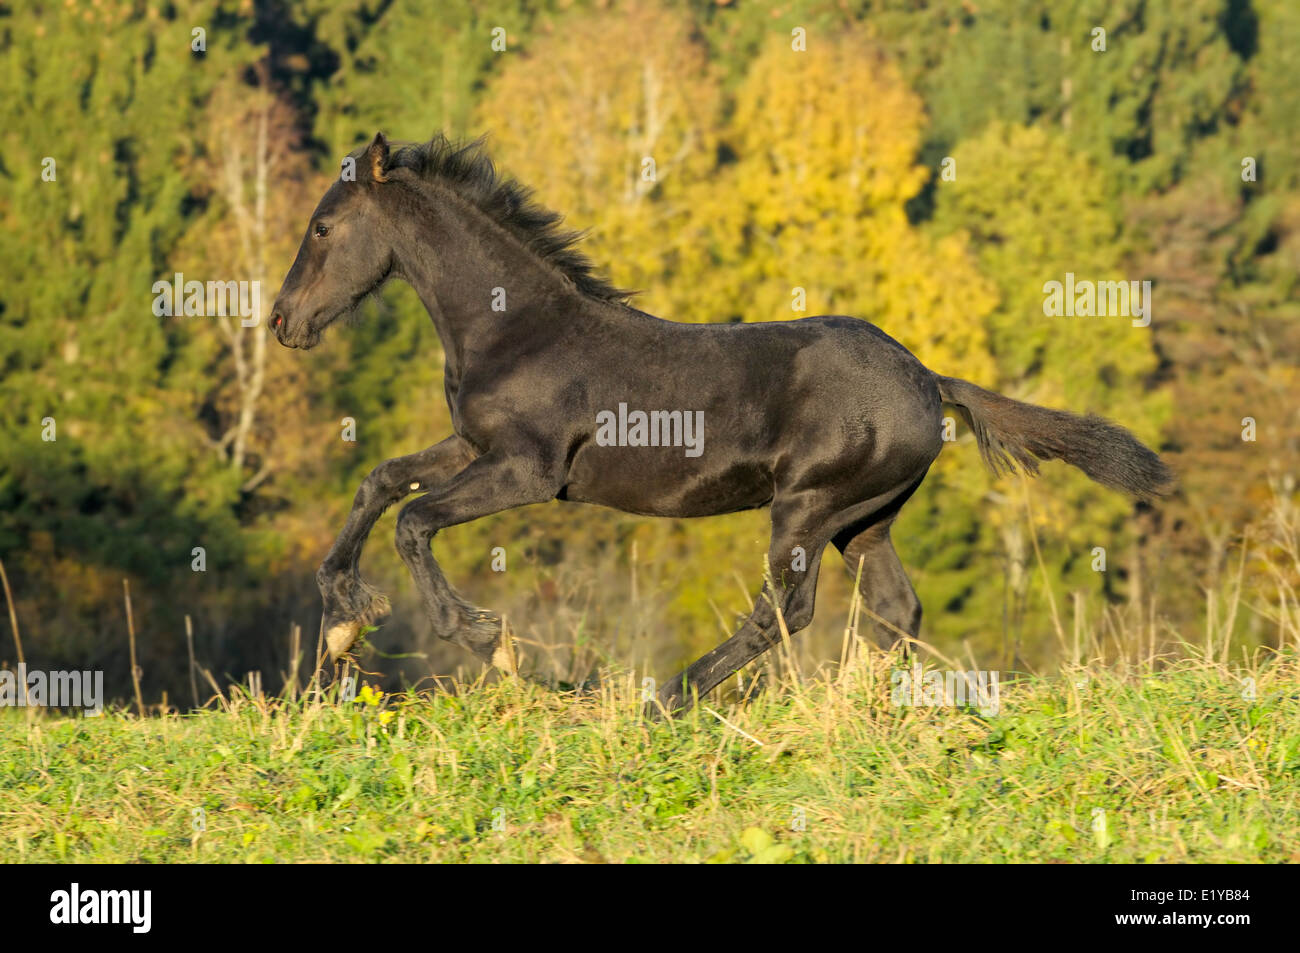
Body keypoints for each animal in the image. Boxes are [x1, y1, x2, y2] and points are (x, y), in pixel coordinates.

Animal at [269, 135, 1175, 712]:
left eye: (322, 226)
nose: (281, 321)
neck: (514, 326)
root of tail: (927, 378)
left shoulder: (527, 470)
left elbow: (415, 519)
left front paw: (485, 637)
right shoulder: (471, 445)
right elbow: (380, 482)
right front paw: (345, 615)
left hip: (808, 507)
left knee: (788, 610)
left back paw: (669, 700)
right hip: (865, 520)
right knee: (895, 607)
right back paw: (855, 704)